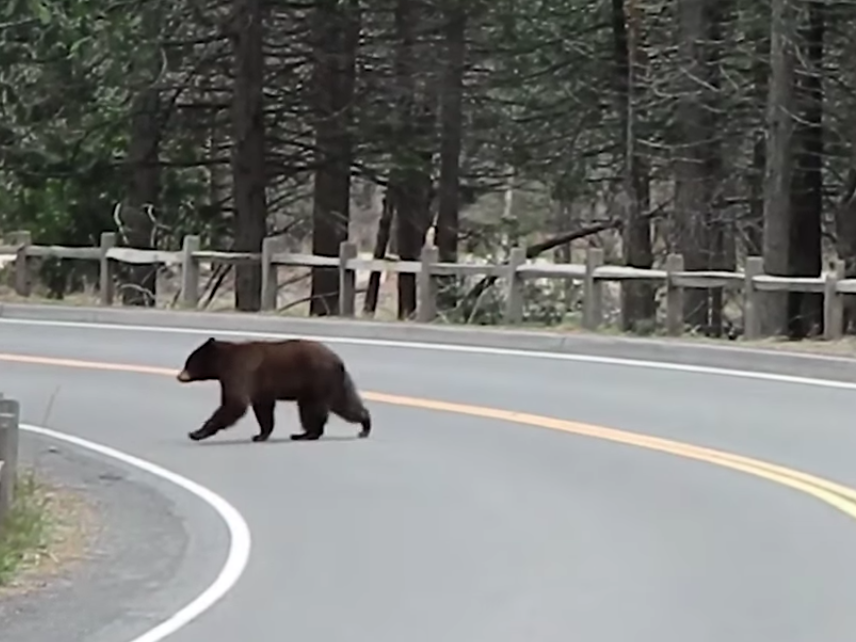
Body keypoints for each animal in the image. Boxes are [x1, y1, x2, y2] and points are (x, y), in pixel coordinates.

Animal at [176, 336, 372, 443]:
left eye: (189, 362)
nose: (179, 376)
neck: (223, 361)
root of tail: (338, 360)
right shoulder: (261, 390)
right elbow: (263, 410)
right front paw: (260, 435)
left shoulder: (239, 372)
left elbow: (235, 404)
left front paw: (196, 433)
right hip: (331, 383)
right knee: (344, 403)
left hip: (317, 380)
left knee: (312, 410)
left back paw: (308, 434)